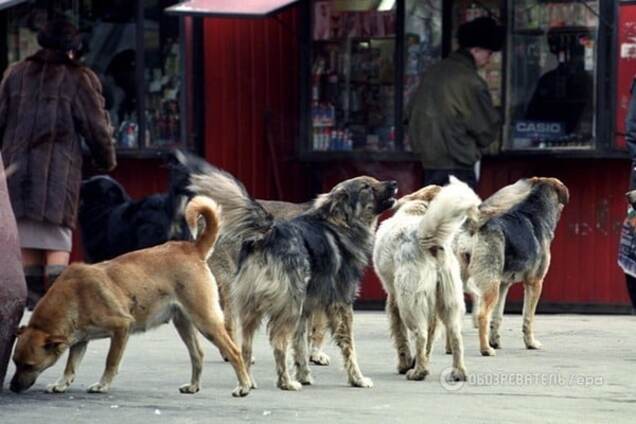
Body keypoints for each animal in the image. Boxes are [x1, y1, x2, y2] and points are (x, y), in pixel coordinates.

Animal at [9, 195, 252, 398]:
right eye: (15, 362)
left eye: (29, 365)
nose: (12, 387)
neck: (73, 296)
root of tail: (192, 248)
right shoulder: (81, 340)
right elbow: (71, 365)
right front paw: (62, 383)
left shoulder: (121, 328)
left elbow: (110, 361)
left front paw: (103, 385)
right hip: (183, 323)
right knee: (198, 355)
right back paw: (194, 386)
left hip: (206, 321)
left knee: (234, 351)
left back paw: (244, 386)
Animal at [189, 166, 398, 390]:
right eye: (366, 187)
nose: (394, 183)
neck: (340, 223)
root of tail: (269, 232)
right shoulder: (340, 303)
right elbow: (347, 346)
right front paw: (357, 378)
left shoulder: (307, 307)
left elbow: (299, 345)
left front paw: (305, 374)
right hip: (284, 302)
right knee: (275, 340)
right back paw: (285, 382)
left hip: (255, 305)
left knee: (247, 344)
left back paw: (248, 381)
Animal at [370, 177, 480, 382]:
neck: (416, 210)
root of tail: (427, 239)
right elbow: (431, 337)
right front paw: (418, 360)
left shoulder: (394, 300)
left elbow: (401, 337)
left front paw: (405, 364)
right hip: (449, 300)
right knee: (455, 336)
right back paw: (458, 372)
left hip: (409, 302)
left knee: (419, 334)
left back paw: (418, 372)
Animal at [454, 176, 568, 354]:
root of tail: (472, 228)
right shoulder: (534, 283)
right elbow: (528, 317)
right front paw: (530, 343)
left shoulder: (504, 285)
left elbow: (498, 317)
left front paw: (495, 341)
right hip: (490, 285)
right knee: (482, 315)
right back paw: (486, 349)